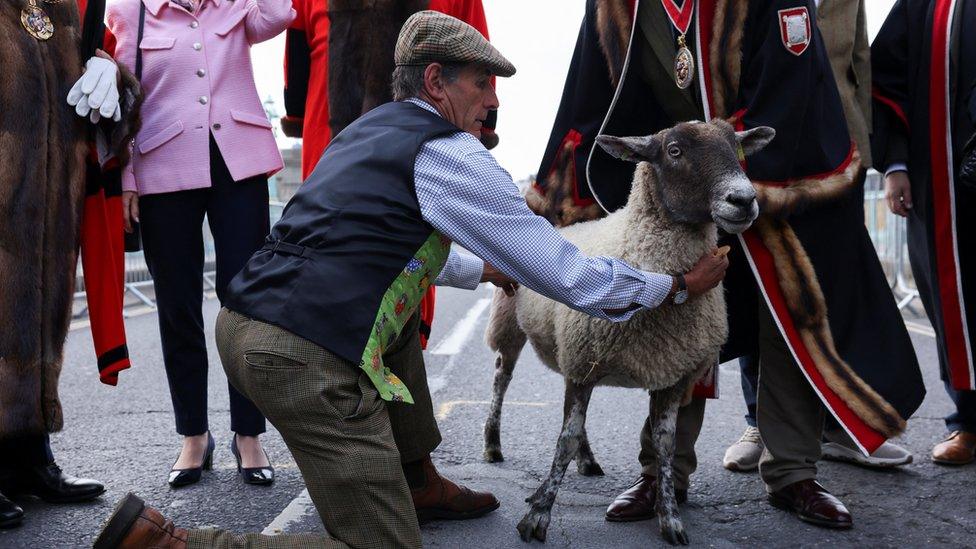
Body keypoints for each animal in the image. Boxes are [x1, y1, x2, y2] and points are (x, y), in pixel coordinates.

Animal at [484, 120, 772, 544]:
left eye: (736, 146)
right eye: (674, 150)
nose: (744, 200)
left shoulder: (671, 373)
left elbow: (664, 445)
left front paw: (669, 517)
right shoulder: (585, 363)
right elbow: (564, 440)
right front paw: (538, 517)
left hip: (566, 351)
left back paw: (586, 461)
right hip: (510, 326)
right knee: (501, 379)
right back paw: (492, 444)